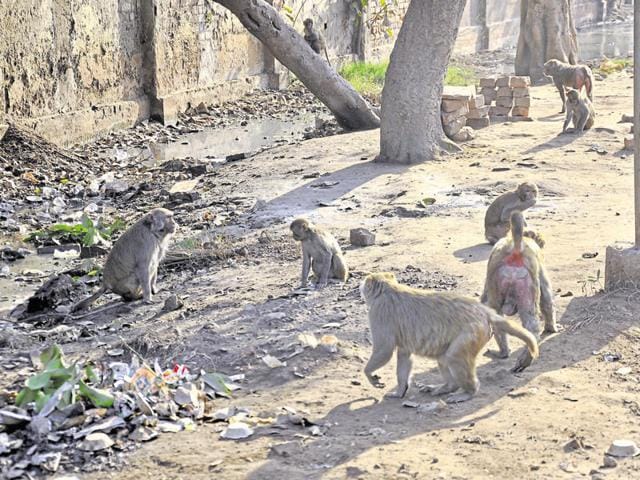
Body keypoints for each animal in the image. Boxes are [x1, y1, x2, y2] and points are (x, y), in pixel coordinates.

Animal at [360, 272, 539, 403]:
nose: (361, 285)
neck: (388, 288)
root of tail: (483, 311)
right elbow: (404, 354)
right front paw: (400, 391)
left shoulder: (378, 311)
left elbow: (384, 349)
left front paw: (369, 374)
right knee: (443, 357)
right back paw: (447, 387)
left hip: (472, 333)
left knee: (454, 356)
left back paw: (468, 392)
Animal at [481, 211, 557, 372]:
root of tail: (516, 248)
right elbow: (547, 298)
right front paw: (551, 328)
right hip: (523, 282)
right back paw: (520, 355)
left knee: (497, 315)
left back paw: (509, 353)